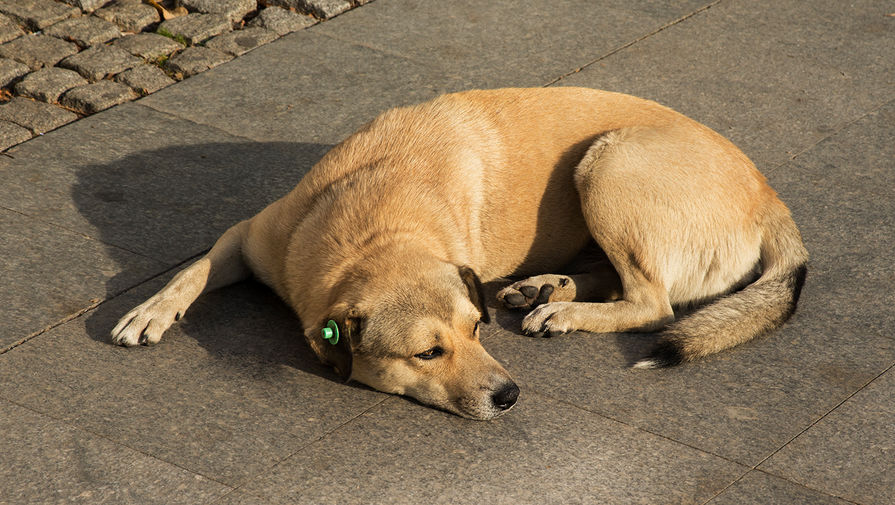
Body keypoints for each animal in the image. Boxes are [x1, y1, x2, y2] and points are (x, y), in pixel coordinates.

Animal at [108, 88, 808, 420]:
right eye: (427, 353)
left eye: (476, 329)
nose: (510, 396)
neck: (377, 224)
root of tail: (773, 199)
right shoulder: (247, 235)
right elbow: (192, 269)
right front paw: (150, 310)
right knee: (619, 282)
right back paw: (546, 288)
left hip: (609, 162)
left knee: (653, 302)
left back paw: (562, 310)